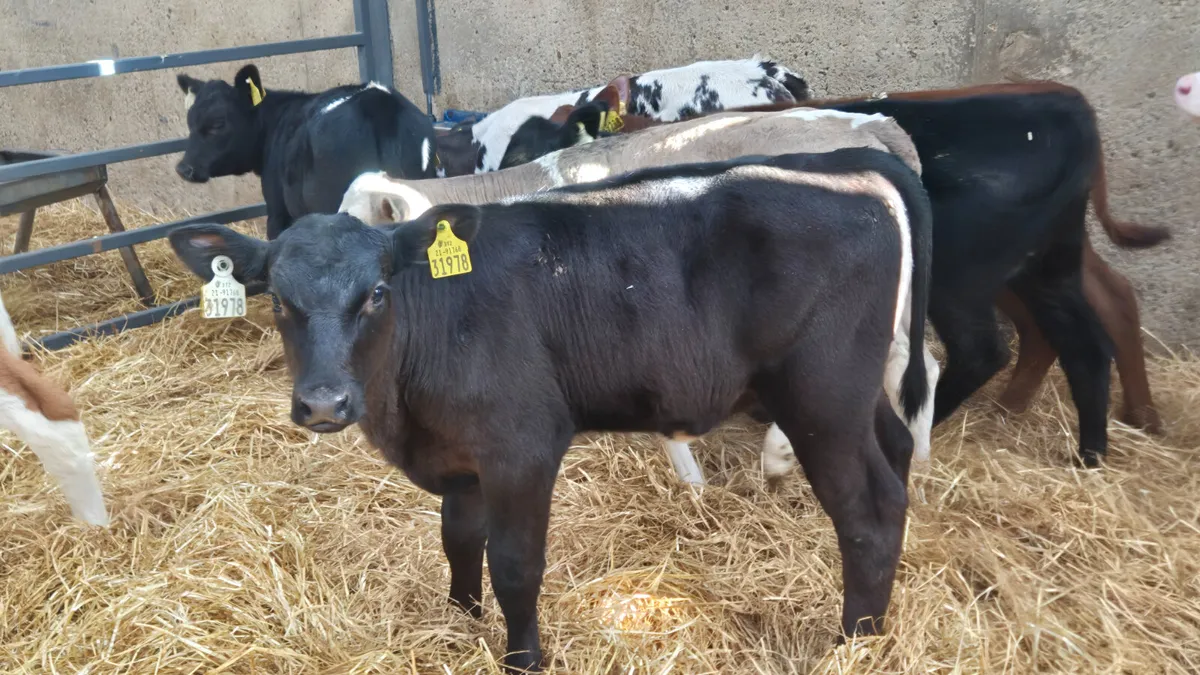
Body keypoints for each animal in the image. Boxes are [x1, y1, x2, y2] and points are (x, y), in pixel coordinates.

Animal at [168, 147, 932, 672]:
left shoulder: (521, 446)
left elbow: (514, 562)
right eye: (278, 298)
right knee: (896, 458)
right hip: (857, 395)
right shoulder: (463, 453)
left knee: (867, 513)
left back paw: (855, 642)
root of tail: (848, 165)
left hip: (821, 397)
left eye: (377, 292)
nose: (325, 402)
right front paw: (459, 620)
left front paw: (522, 657)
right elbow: (457, 539)